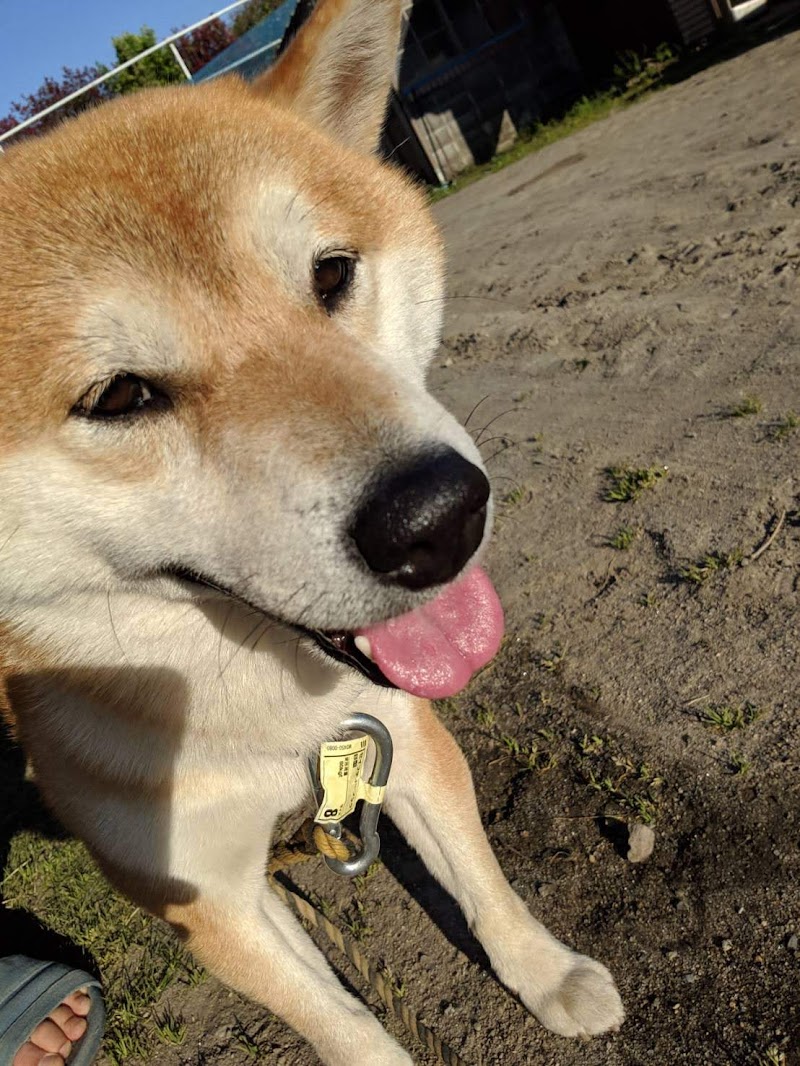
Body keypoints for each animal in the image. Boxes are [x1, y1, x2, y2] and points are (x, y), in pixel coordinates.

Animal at [0, 0, 627, 1057]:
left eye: (331, 274)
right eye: (119, 396)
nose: (440, 517)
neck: (270, 723)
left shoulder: (399, 737)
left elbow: (482, 884)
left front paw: (548, 974)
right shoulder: (206, 898)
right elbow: (342, 1026)